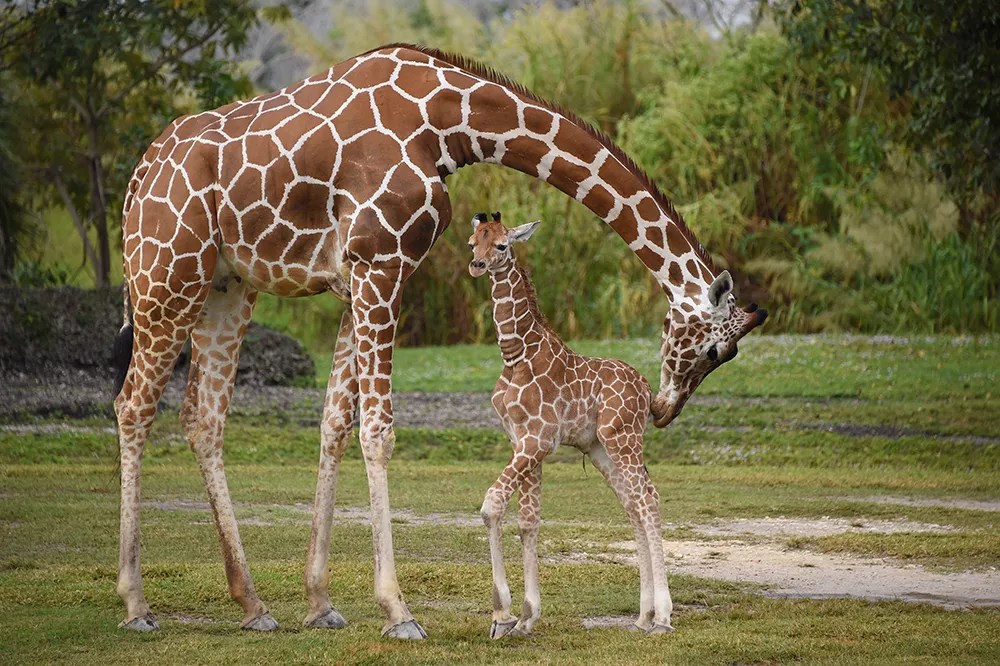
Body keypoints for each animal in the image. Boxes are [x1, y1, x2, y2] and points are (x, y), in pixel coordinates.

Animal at [468, 211, 672, 637]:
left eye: (502, 245)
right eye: (472, 242)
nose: (476, 265)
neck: (515, 354)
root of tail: (647, 390)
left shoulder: (538, 440)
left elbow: (493, 505)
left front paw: (502, 615)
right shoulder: (522, 441)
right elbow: (529, 521)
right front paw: (526, 617)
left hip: (623, 439)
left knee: (648, 499)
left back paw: (663, 616)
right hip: (600, 448)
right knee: (633, 504)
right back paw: (643, 617)